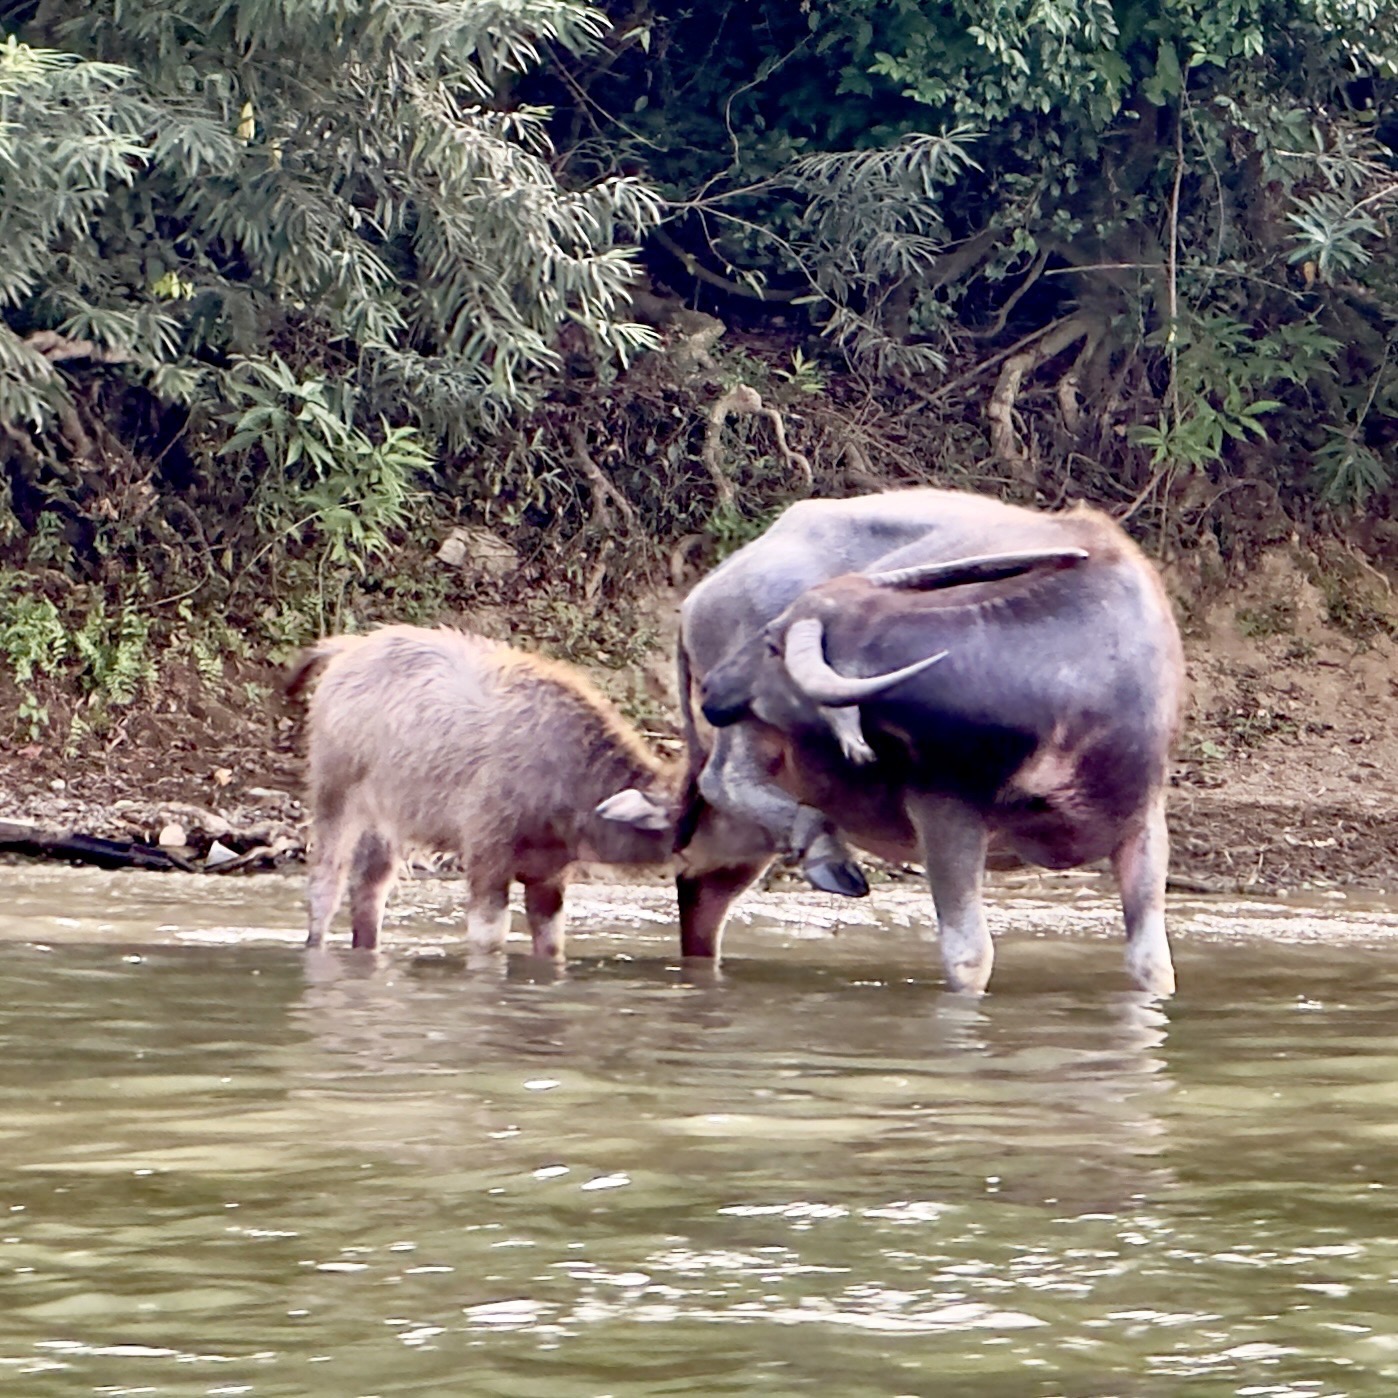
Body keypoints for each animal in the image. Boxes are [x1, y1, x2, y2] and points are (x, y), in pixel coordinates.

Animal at [671, 492, 1185, 995]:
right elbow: (969, 956)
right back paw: (825, 853)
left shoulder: (1142, 822)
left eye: (773, 644)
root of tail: (701, 596)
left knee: (703, 884)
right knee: (724, 780)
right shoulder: (945, 813)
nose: (714, 685)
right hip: (749, 732)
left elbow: (1152, 964)